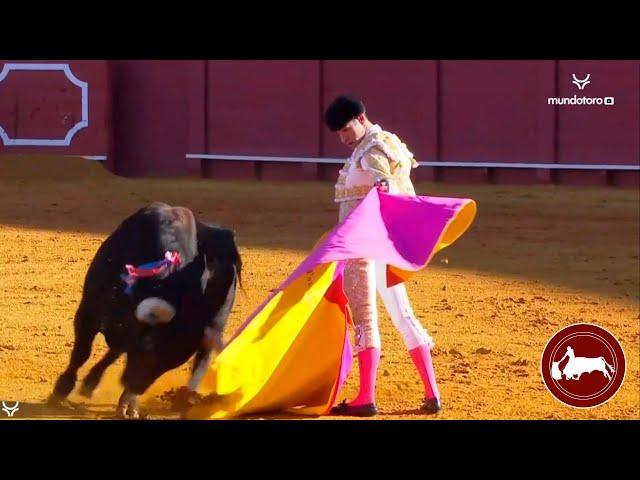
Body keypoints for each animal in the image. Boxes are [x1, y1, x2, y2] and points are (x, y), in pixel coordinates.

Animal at [48, 201, 241, 418]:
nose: (137, 387)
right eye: (149, 350)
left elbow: (116, 351)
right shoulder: (87, 312)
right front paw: (61, 390)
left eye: (169, 365)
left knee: (200, 361)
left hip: (214, 323)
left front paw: (122, 400)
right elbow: (82, 353)